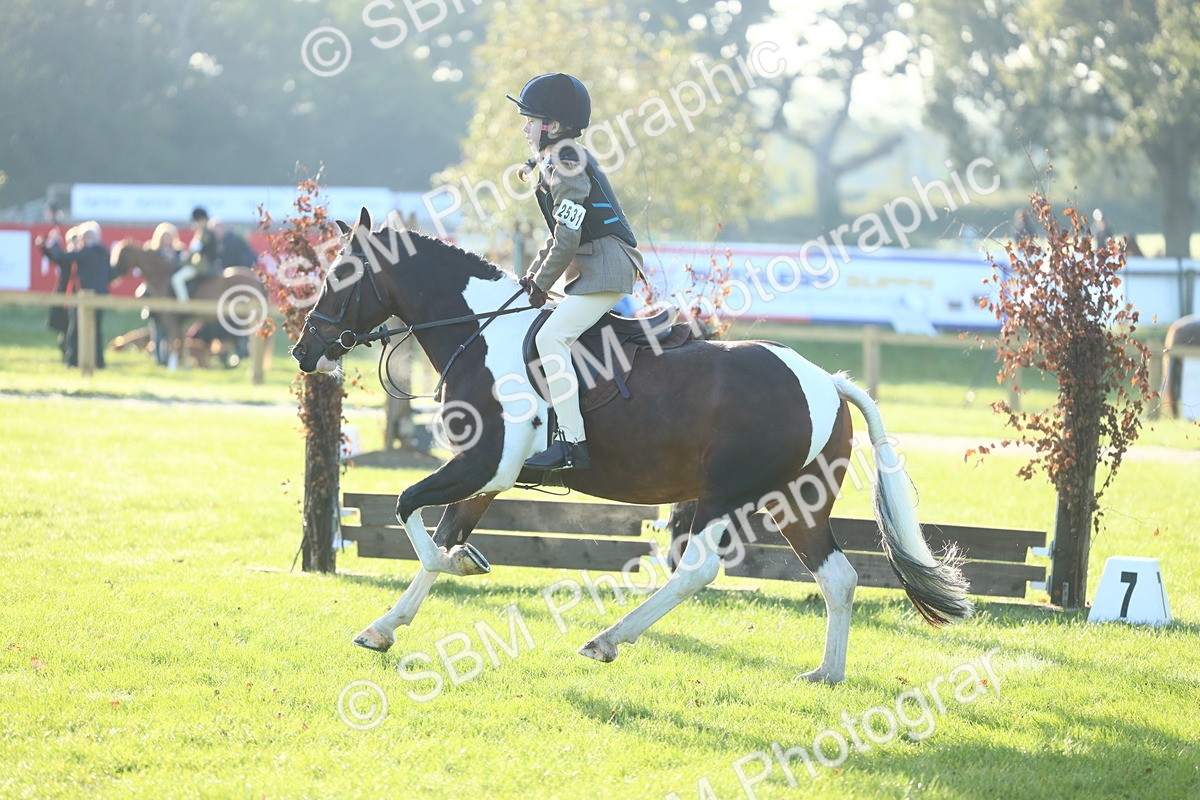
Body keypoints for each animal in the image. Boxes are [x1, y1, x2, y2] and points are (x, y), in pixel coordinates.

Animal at [110, 238, 266, 369]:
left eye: (120, 253)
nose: (114, 273)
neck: (164, 277)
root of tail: (256, 278)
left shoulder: (171, 319)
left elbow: (173, 342)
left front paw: (172, 368)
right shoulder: (180, 320)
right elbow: (181, 342)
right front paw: (185, 367)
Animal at [291, 208, 972, 684]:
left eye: (338, 276)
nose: (304, 351)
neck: (480, 332)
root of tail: (826, 380)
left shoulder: (483, 463)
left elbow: (413, 514)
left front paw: (459, 566)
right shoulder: (488, 476)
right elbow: (441, 533)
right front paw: (384, 628)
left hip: (725, 493)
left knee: (698, 568)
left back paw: (607, 640)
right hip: (795, 504)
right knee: (838, 577)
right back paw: (827, 673)